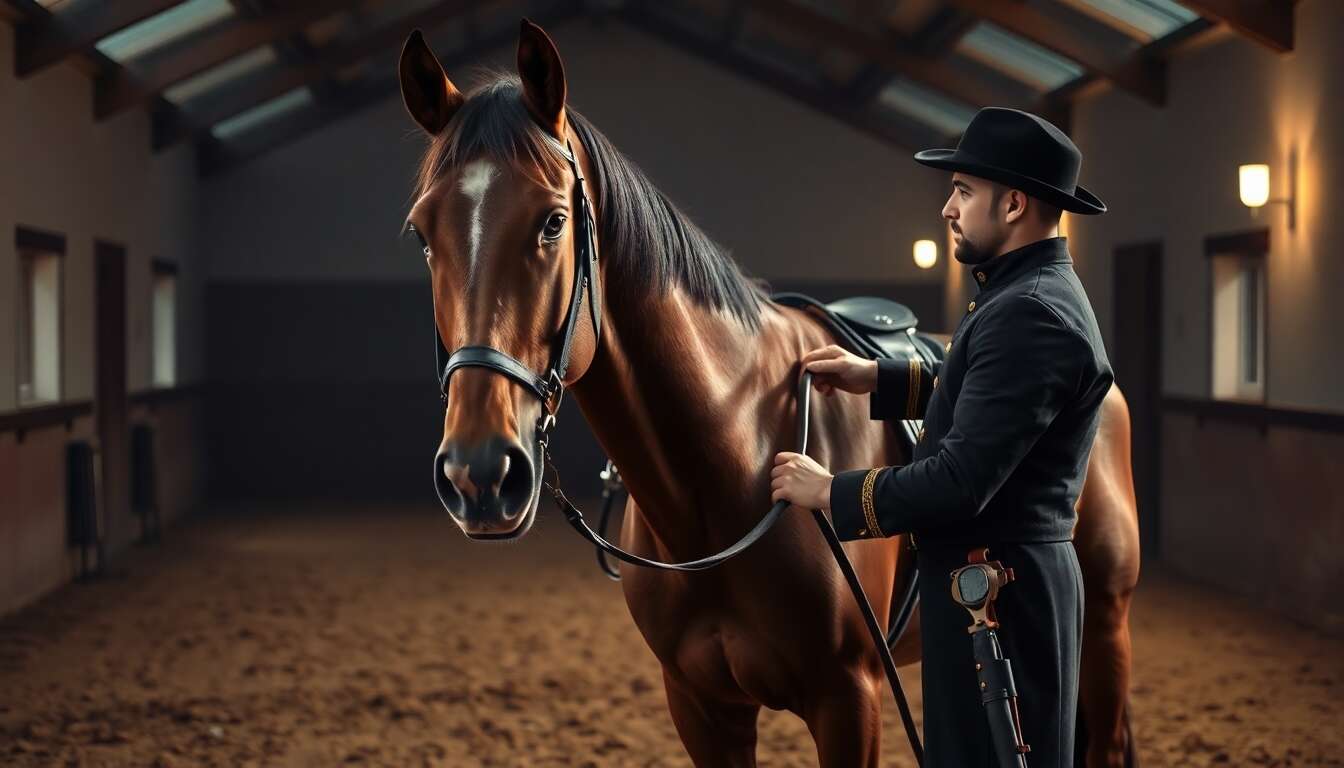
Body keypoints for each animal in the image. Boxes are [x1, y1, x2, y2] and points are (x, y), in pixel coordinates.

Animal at [396, 19, 1140, 767]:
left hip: (1103, 622)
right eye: (422, 234)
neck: (727, 471)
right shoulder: (702, 707)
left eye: (552, 221)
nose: (480, 474)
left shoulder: (849, 701)